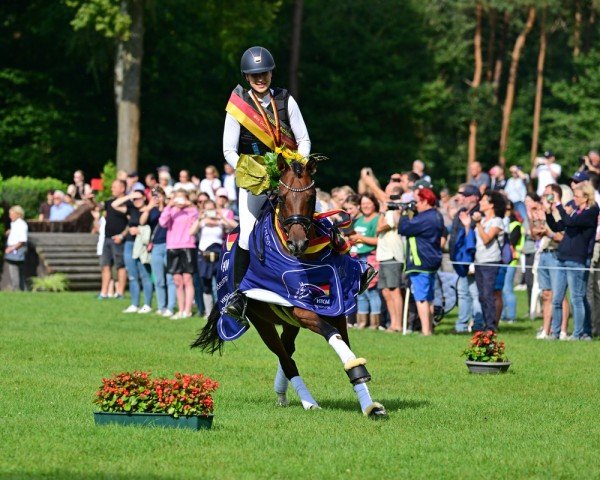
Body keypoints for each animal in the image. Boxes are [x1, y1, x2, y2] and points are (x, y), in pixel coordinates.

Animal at [192, 156, 390, 418]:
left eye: (312, 196)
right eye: (283, 197)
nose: (298, 243)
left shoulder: (336, 309)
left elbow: (342, 340)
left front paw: (369, 404)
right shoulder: (301, 309)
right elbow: (332, 336)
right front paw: (358, 372)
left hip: (288, 323)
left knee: (287, 352)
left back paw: (282, 394)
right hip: (262, 321)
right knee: (286, 358)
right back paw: (308, 402)